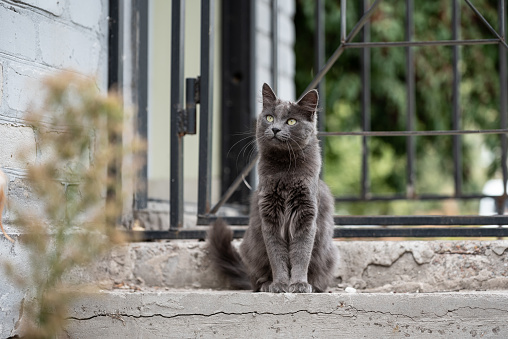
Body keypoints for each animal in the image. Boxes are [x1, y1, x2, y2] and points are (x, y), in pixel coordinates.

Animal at [208, 84, 340, 292]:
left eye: (291, 121)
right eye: (269, 117)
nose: (275, 128)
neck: (284, 168)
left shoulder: (305, 214)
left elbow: (301, 254)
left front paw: (299, 284)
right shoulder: (270, 216)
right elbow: (277, 256)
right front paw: (279, 284)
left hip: (328, 253)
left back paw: (312, 285)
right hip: (251, 248)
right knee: (256, 279)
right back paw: (266, 284)